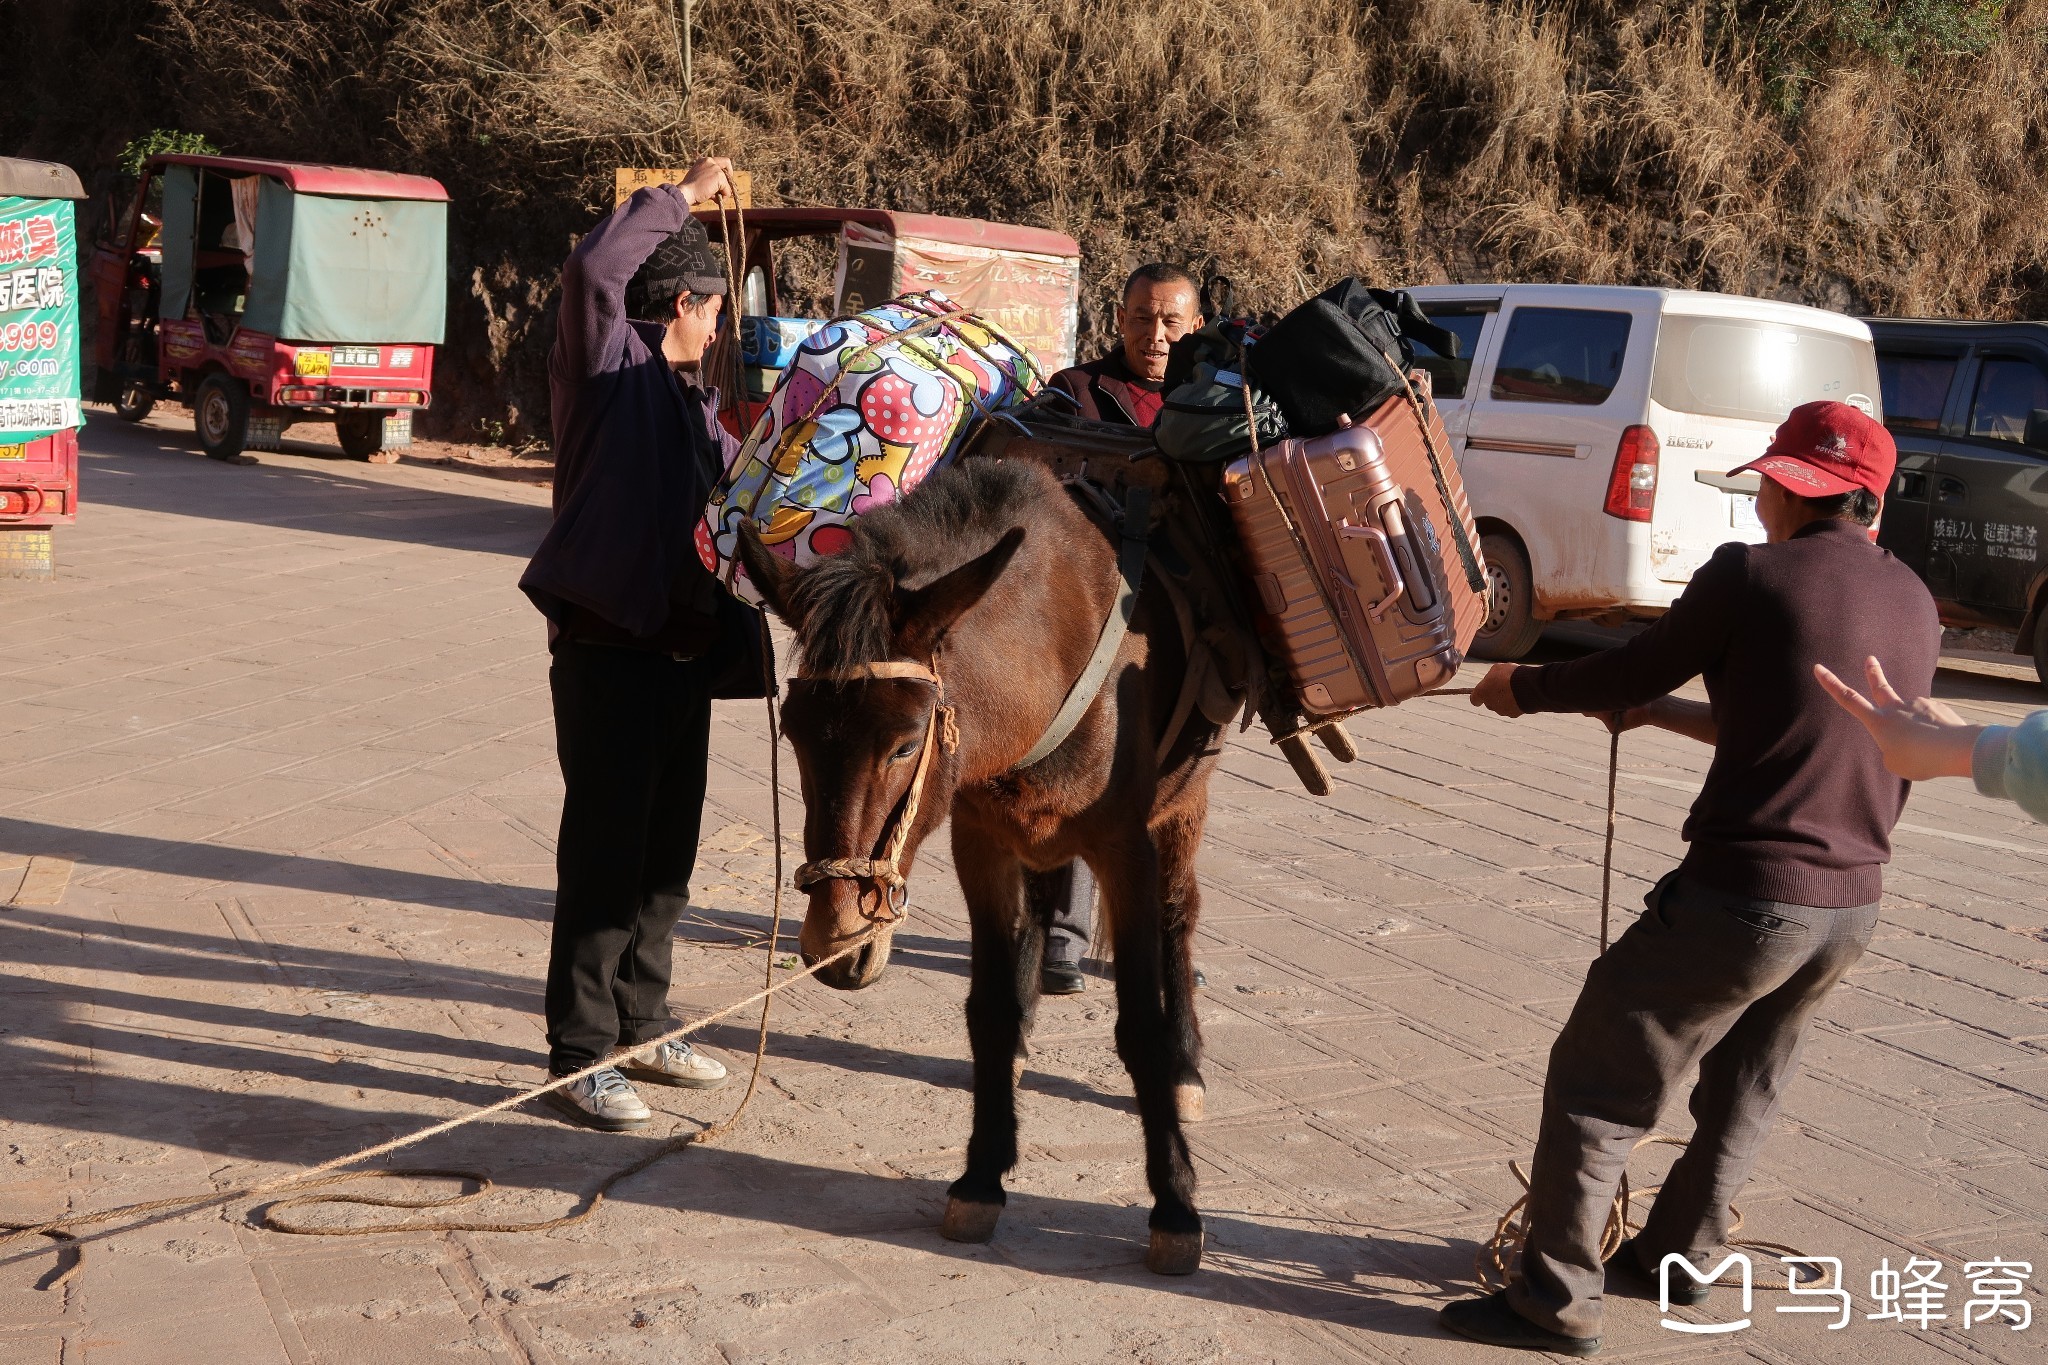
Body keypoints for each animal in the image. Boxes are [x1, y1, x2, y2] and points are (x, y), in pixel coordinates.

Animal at [753, 462, 1228, 1285]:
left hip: (1183, 805)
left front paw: (1175, 1207)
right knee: (1040, 911)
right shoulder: (979, 841)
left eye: (904, 743)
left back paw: (1187, 1069)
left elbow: (1139, 1024)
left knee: (1180, 918)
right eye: (793, 732)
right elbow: (991, 1010)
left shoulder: (1126, 849)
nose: (835, 947)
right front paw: (981, 1177)